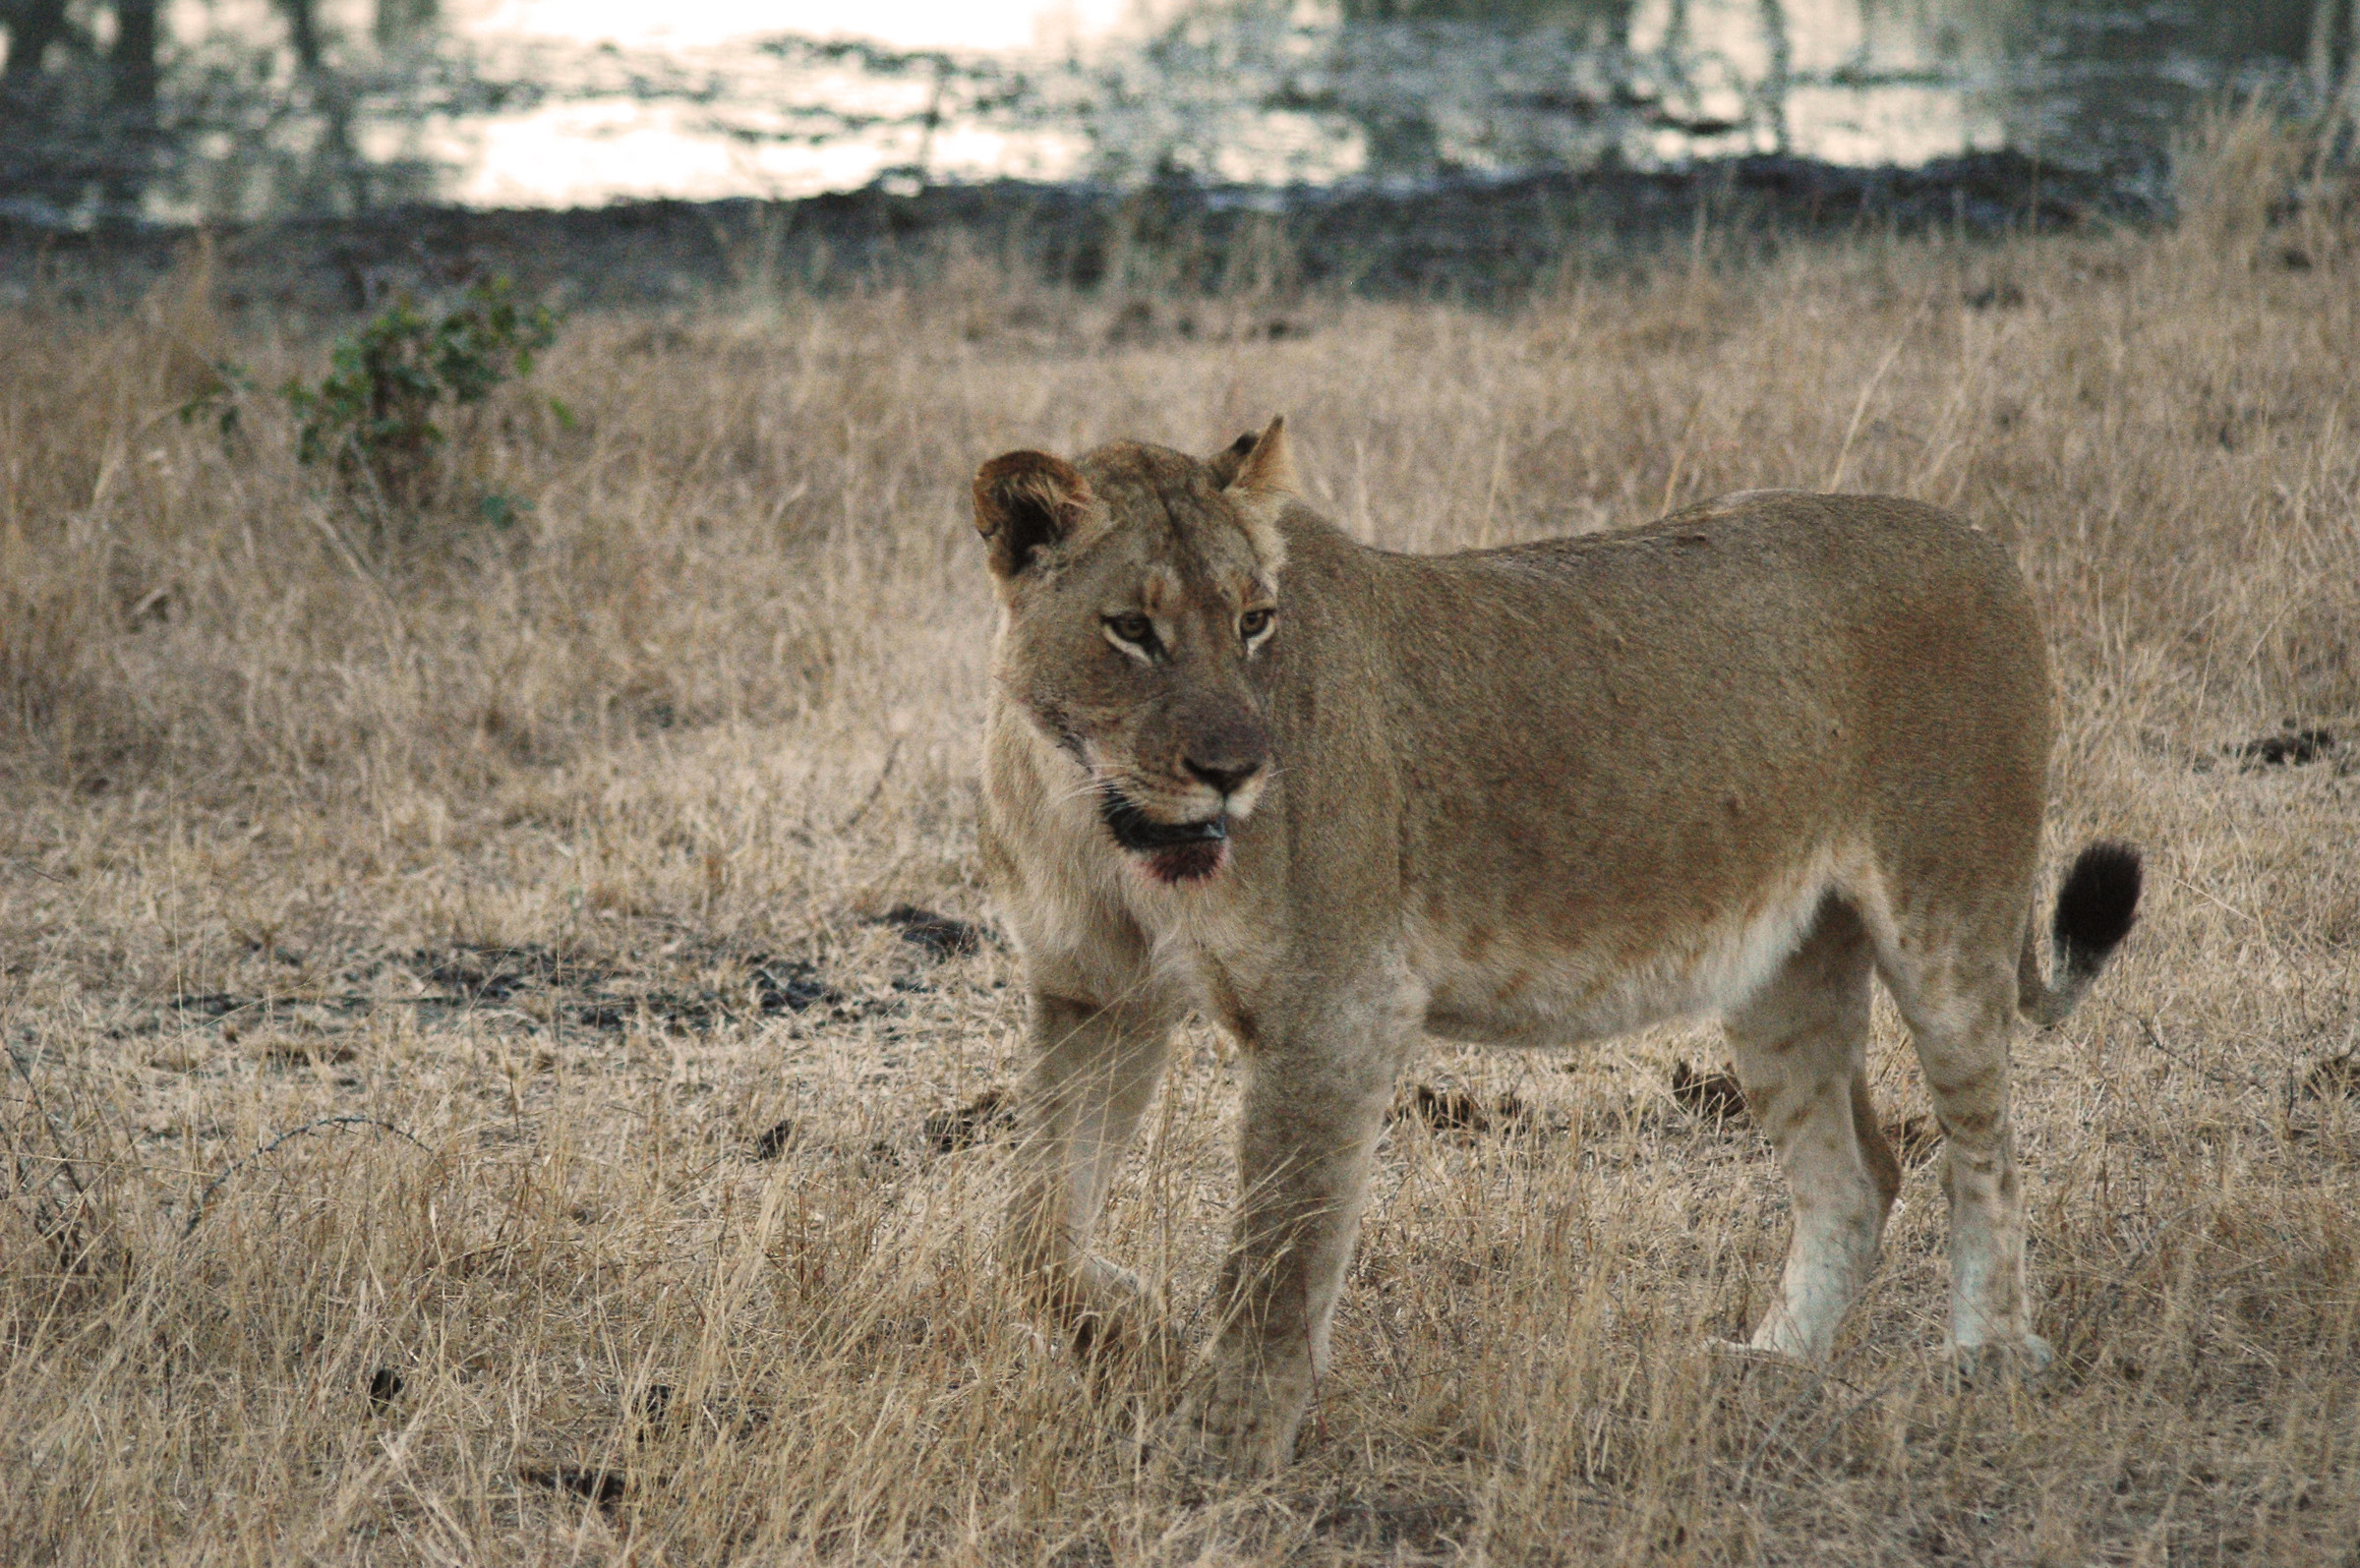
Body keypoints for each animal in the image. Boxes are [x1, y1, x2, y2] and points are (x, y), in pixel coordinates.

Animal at [972, 418, 2141, 1476]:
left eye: (1255, 620)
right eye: (1131, 629)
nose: (1235, 771)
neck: (1096, 815)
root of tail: (1984, 539)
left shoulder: (1335, 1009)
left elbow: (1276, 1253)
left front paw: (1221, 1448)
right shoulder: (1096, 997)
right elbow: (1031, 1233)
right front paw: (1131, 1332)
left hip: (1948, 919)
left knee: (1984, 1154)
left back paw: (1992, 1356)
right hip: (1784, 973)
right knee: (1856, 1174)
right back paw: (1769, 1364)